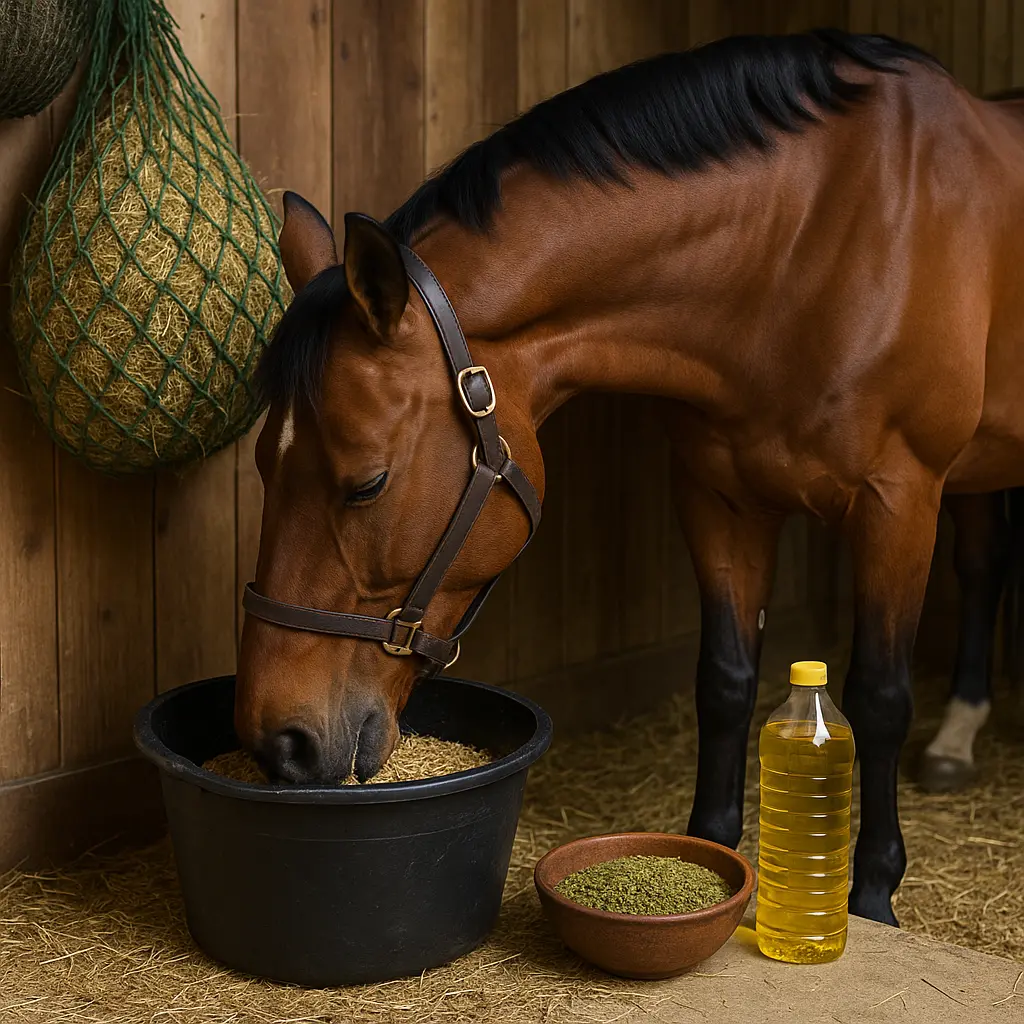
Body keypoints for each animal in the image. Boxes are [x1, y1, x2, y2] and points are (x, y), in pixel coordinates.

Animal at [235, 28, 1024, 928]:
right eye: (264, 467)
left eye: (366, 483)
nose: (276, 740)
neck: (812, 246)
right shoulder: (718, 496)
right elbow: (724, 682)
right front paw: (712, 853)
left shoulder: (900, 500)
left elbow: (883, 696)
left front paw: (873, 897)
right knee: (986, 560)